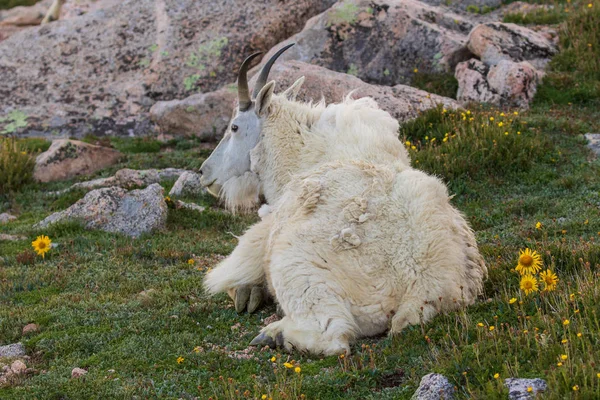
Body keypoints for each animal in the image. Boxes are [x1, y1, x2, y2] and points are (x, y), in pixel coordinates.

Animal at [202, 44, 488, 356]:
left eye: (234, 127)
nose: (205, 173)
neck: (303, 153)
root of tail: (421, 287)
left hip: (298, 266)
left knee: (331, 337)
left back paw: (276, 335)